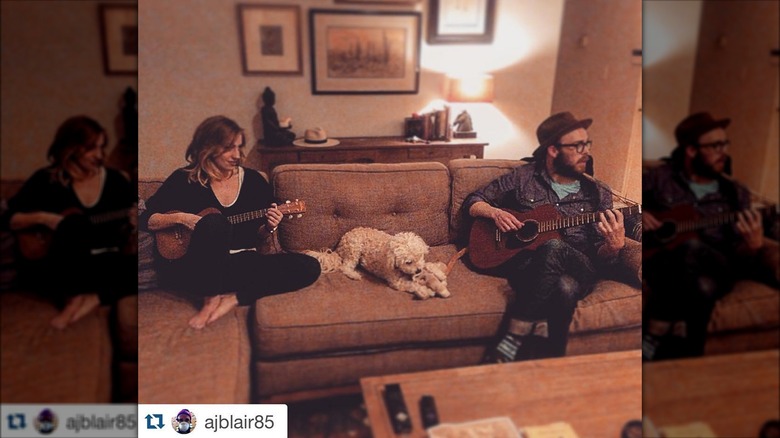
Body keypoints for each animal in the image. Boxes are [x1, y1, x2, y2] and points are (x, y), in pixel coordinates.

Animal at [308, 228, 436, 300]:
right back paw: (354, 275)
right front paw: (426, 291)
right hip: (354, 249)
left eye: (420, 256)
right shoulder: (396, 282)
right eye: (408, 262)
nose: (419, 270)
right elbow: (412, 285)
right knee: (345, 267)